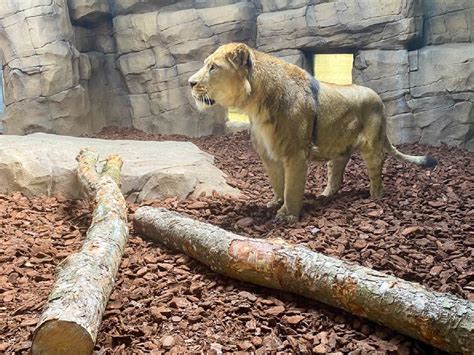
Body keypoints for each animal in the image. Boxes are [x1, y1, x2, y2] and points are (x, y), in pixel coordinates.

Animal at [188, 43, 436, 222]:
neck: (255, 107)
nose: (190, 82)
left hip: (373, 145)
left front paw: (287, 215)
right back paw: (325, 196)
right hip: (338, 150)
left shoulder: (296, 153)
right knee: (336, 174)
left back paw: (375, 199)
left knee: (376, 174)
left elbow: (292, 187)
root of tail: (380, 100)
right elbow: (277, 182)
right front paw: (275, 202)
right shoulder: (268, 155)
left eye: (213, 67)